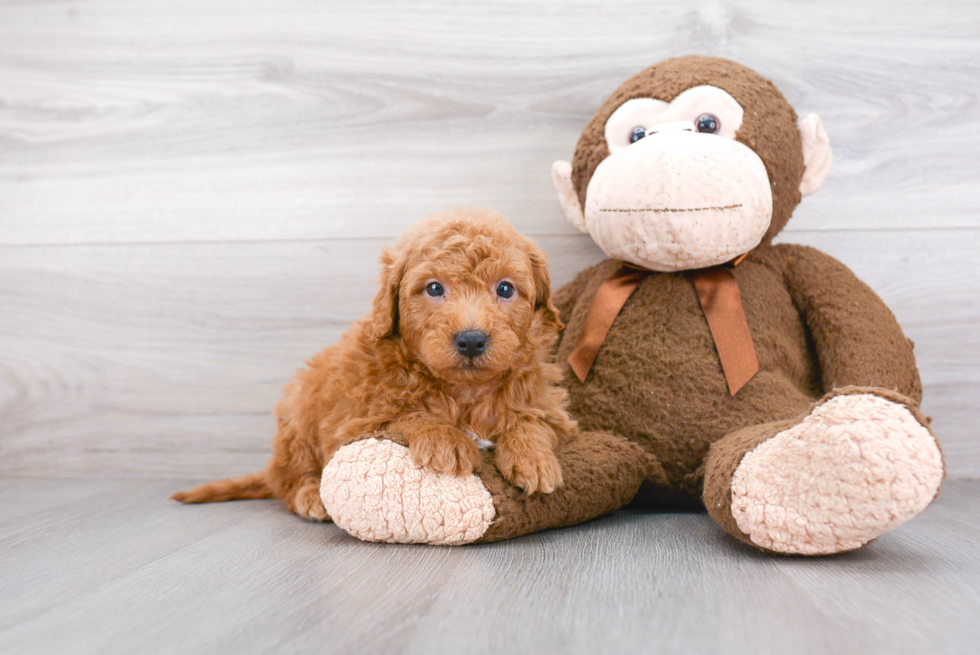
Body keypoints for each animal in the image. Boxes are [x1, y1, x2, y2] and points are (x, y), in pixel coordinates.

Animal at [173, 208, 580, 520]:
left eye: (505, 289)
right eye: (434, 288)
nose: (471, 340)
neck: (462, 390)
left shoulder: (550, 408)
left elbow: (531, 420)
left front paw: (533, 458)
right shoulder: (356, 420)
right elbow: (404, 415)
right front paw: (444, 438)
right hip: (297, 418)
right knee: (289, 480)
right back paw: (310, 497)